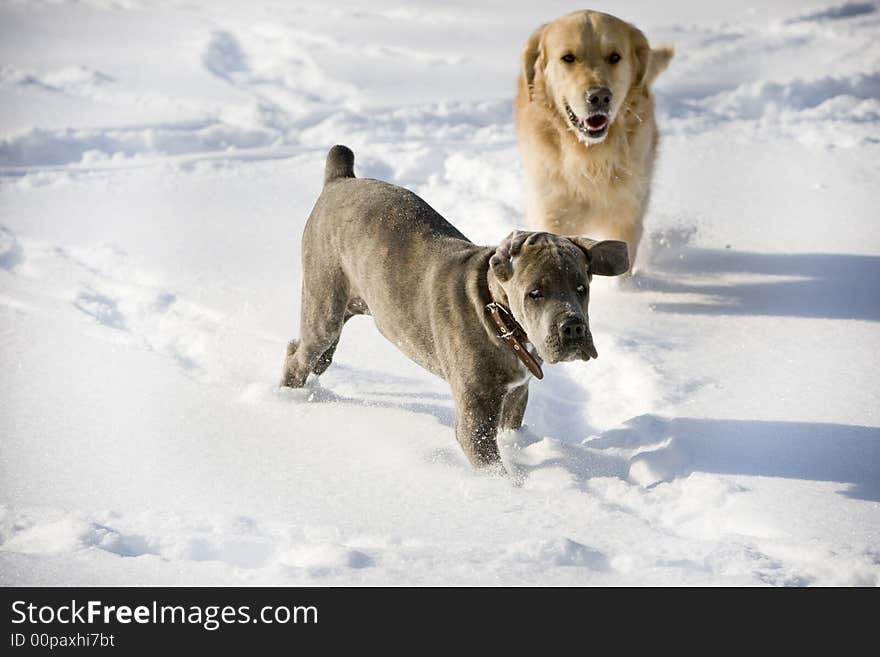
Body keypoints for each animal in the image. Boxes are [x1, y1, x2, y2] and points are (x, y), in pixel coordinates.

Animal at [278, 146, 628, 468]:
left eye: (582, 288)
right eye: (535, 293)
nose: (573, 326)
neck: (501, 321)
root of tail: (339, 180)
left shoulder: (516, 395)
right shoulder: (476, 418)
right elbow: (494, 467)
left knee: (313, 354)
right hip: (323, 304)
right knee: (300, 356)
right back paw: (286, 400)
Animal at [516, 10, 672, 268]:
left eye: (615, 56)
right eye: (568, 58)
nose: (599, 97)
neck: (590, 156)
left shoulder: (627, 216)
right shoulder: (552, 213)